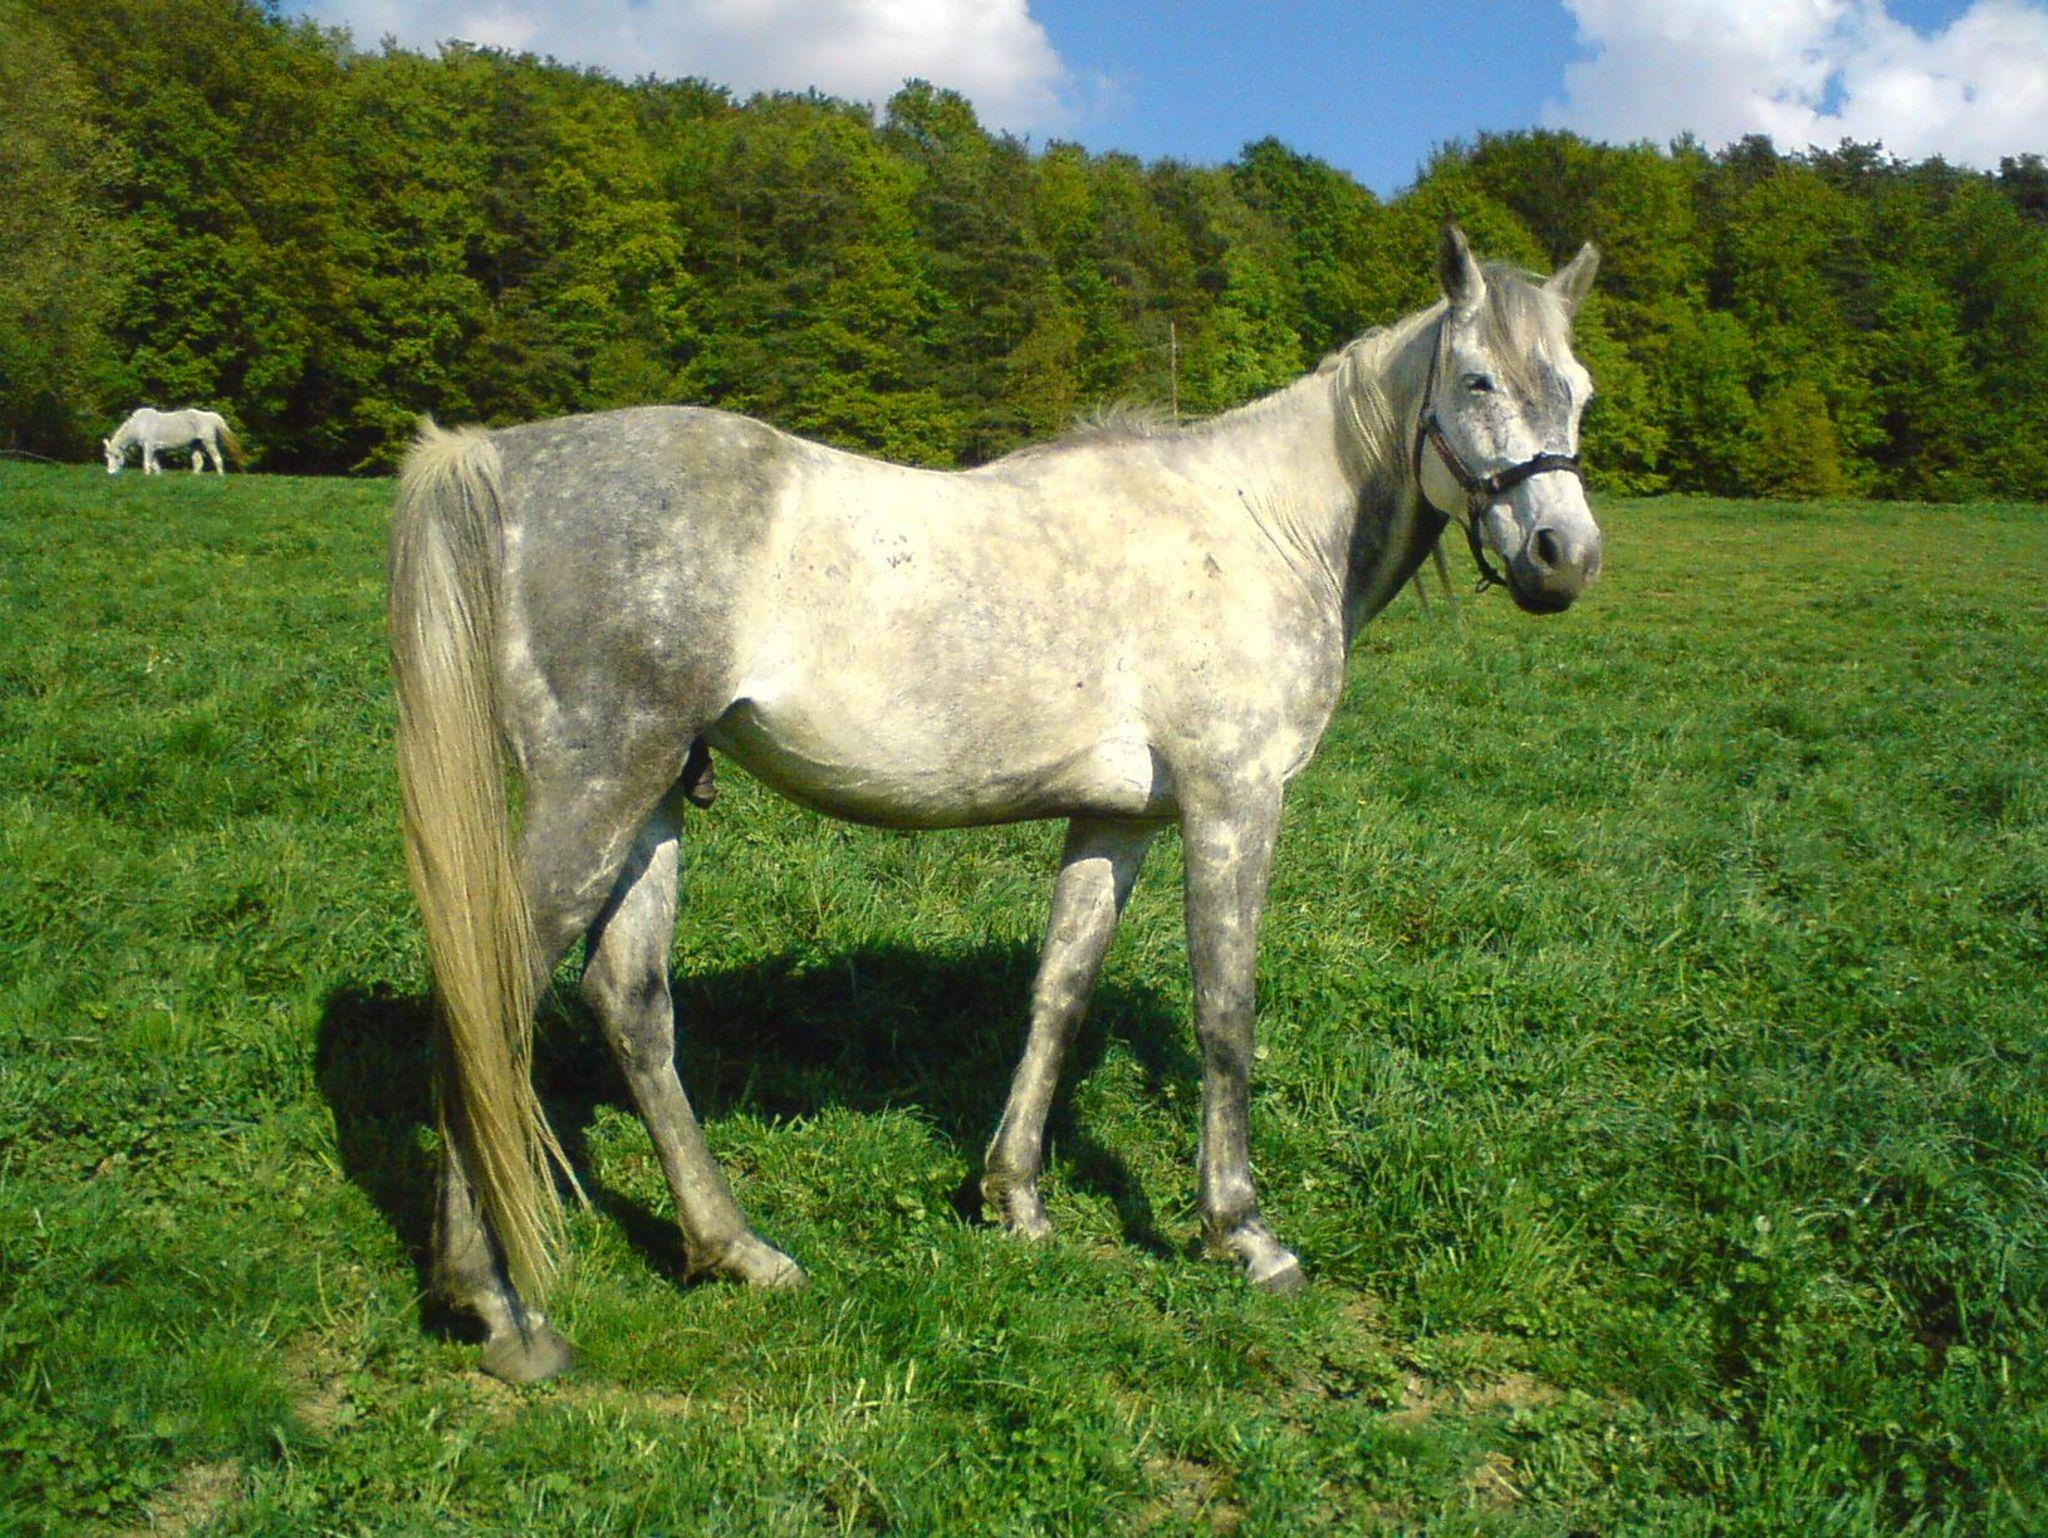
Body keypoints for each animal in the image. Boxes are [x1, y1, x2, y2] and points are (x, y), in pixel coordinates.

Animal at [103, 407, 240, 474]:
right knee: (198, 462)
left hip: (208, 442)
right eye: (107, 456)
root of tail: (212, 416)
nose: (110, 472)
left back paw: (220, 476)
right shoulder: (154, 449)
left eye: (116, 456)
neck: (140, 425)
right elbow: (155, 465)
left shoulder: (149, 446)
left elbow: (147, 463)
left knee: (217, 458)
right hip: (195, 444)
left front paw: (146, 475)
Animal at [388, 224, 1602, 1383]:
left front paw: (1012, 1197)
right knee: (494, 998)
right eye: (1478, 380)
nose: (1563, 558)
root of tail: (498, 459)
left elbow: (1059, 990)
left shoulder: (1120, 819)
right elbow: (1226, 1012)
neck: (1260, 527)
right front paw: (1241, 1231)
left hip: (651, 800)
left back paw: (734, 1250)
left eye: (1579, 390)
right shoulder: (1233, 802)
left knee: (630, 1003)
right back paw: (500, 1308)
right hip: (597, 789)